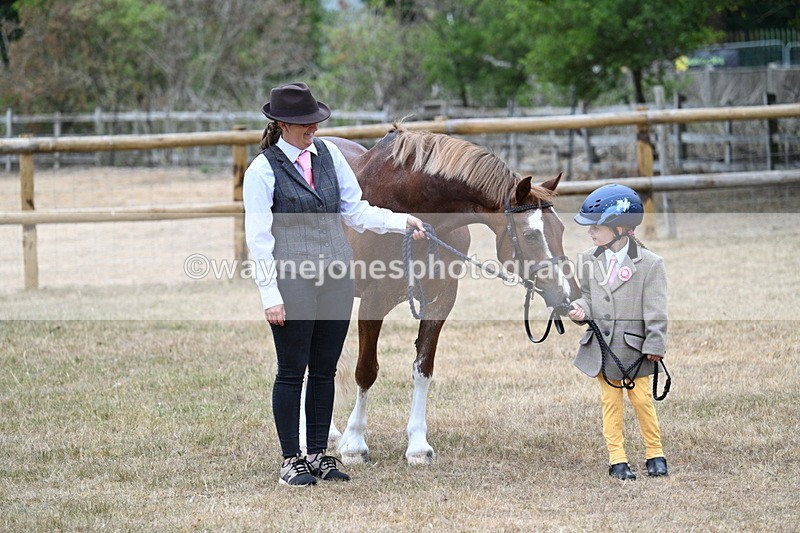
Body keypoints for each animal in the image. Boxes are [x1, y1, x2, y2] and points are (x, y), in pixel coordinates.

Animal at [326, 124, 580, 465]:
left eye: (562, 230)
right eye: (530, 235)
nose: (568, 295)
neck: (408, 207)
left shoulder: (441, 301)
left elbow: (423, 369)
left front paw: (418, 446)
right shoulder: (373, 302)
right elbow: (366, 371)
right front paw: (354, 445)